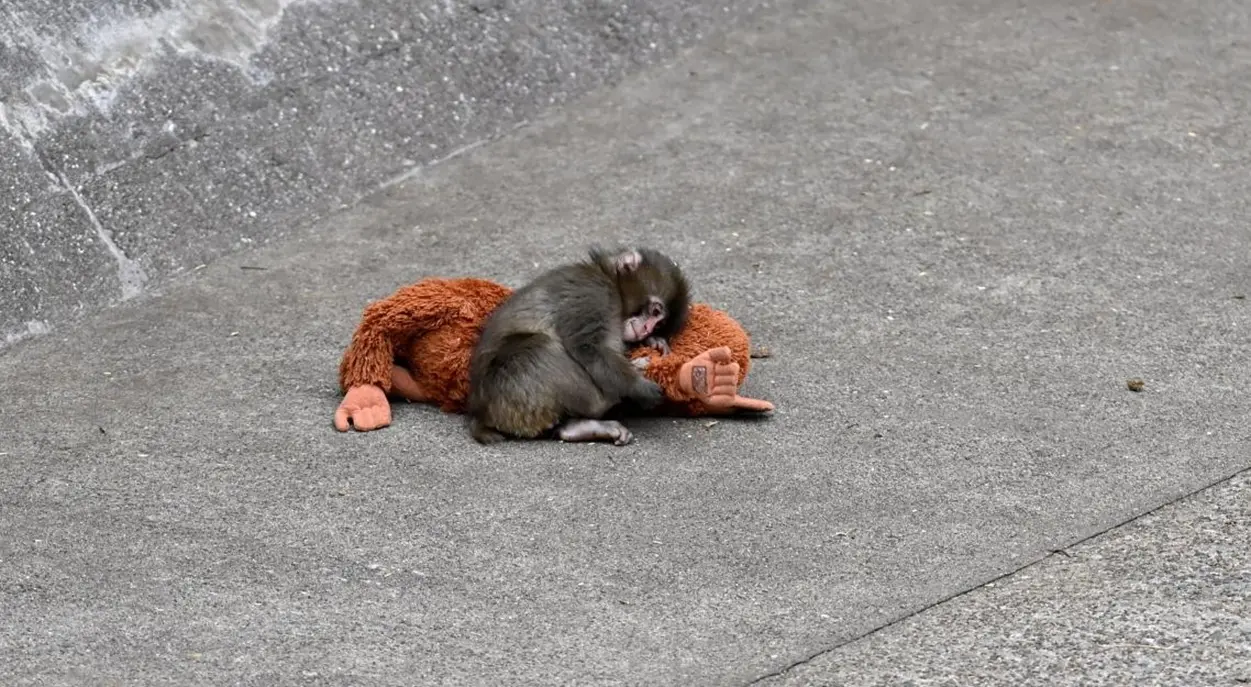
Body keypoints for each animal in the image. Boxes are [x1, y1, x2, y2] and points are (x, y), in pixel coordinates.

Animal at [466, 246, 691, 446]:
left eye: (659, 324)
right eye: (655, 312)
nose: (646, 329)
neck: (609, 279)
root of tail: (481, 413)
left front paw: (654, 342)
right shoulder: (594, 295)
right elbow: (588, 347)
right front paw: (639, 386)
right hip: (509, 389)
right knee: (540, 347)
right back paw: (608, 399)